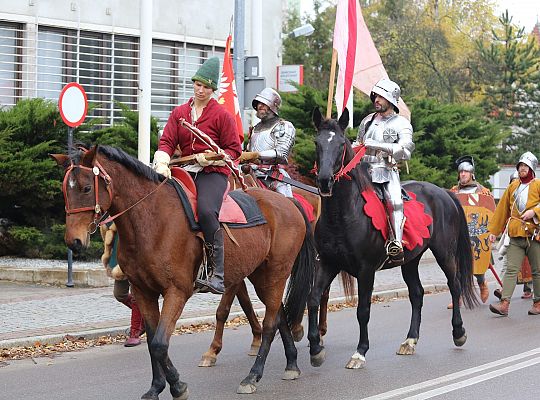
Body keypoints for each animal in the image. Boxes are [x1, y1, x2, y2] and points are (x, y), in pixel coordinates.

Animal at [51, 145, 316, 398]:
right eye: (65, 190)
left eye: (86, 188)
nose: (73, 241)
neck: (150, 219)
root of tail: (288, 202)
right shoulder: (143, 292)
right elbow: (152, 342)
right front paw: (156, 388)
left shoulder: (176, 291)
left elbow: (160, 343)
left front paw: (178, 386)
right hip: (261, 276)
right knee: (279, 315)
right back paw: (291, 363)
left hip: (276, 273)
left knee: (271, 323)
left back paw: (252, 376)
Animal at [308, 108, 476, 370]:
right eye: (317, 142)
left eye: (340, 144)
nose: (325, 181)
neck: (342, 214)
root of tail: (443, 192)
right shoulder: (327, 263)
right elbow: (314, 300)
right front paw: (316, 349)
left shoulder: (366, 270)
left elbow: (363, 310)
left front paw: (360, 352)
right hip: (411, 260)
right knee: (417, 294)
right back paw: (410, 341)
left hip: (445, 253)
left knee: (454, 285)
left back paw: (458, 333)